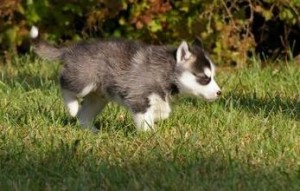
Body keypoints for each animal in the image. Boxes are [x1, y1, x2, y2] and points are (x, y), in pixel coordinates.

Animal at [30, 26, 221, 131]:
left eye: (212, 76)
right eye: (205, 78)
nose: (220, 93)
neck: (165, 71)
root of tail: (71, 48)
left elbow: (163, 111)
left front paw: (158, 116)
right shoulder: (138, 97)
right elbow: (145, 119)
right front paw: (150, 135)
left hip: (98, 98)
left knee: (83, 116)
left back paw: (93, 131)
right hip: (84, 81)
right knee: (64, 83)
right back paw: (72, 107)